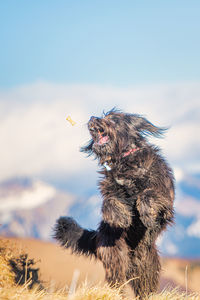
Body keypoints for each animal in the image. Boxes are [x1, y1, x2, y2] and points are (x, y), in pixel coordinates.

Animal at [54, 109, 174, 298]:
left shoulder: (164, 198)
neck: (124, 161)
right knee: (118, 280)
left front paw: (147, 214)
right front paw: (122, 217)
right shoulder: (110, 190)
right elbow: (109, 202)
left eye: (113, 119)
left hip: (146, 260)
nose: (92, 118)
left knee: (144, 282)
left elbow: (147, 194)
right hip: (114, 254)